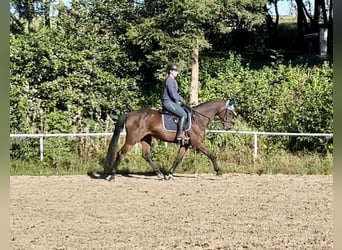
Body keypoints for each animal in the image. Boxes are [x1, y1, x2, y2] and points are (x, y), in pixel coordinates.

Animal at [105, 98, 235, 182]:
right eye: (229, 113)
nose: (228, 127)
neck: (198, 118)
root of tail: (130, 114)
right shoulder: (197, 143)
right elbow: (211, 155)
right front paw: (218, 171)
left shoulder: (185, 144)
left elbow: (178, 159)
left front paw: (170, 174)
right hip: (132, 139)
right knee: (121, 153)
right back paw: (112, 176)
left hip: (146, 138)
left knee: (146, 155)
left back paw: (160, 174)